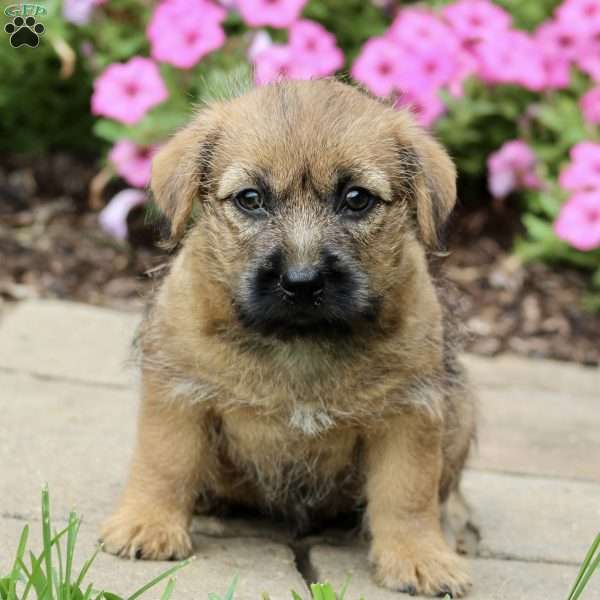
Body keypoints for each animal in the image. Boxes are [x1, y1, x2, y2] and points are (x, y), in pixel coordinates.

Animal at [103, 78, 478, 596]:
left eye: (357, 199)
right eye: (250, 198)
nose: (301, 282)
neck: (300, 342)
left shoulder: (410, 412)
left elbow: (409, 493)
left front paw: (419, 556)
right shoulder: (178, 393)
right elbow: (164, 461)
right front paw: (149, 524)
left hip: (461, 411)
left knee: (447, 486)